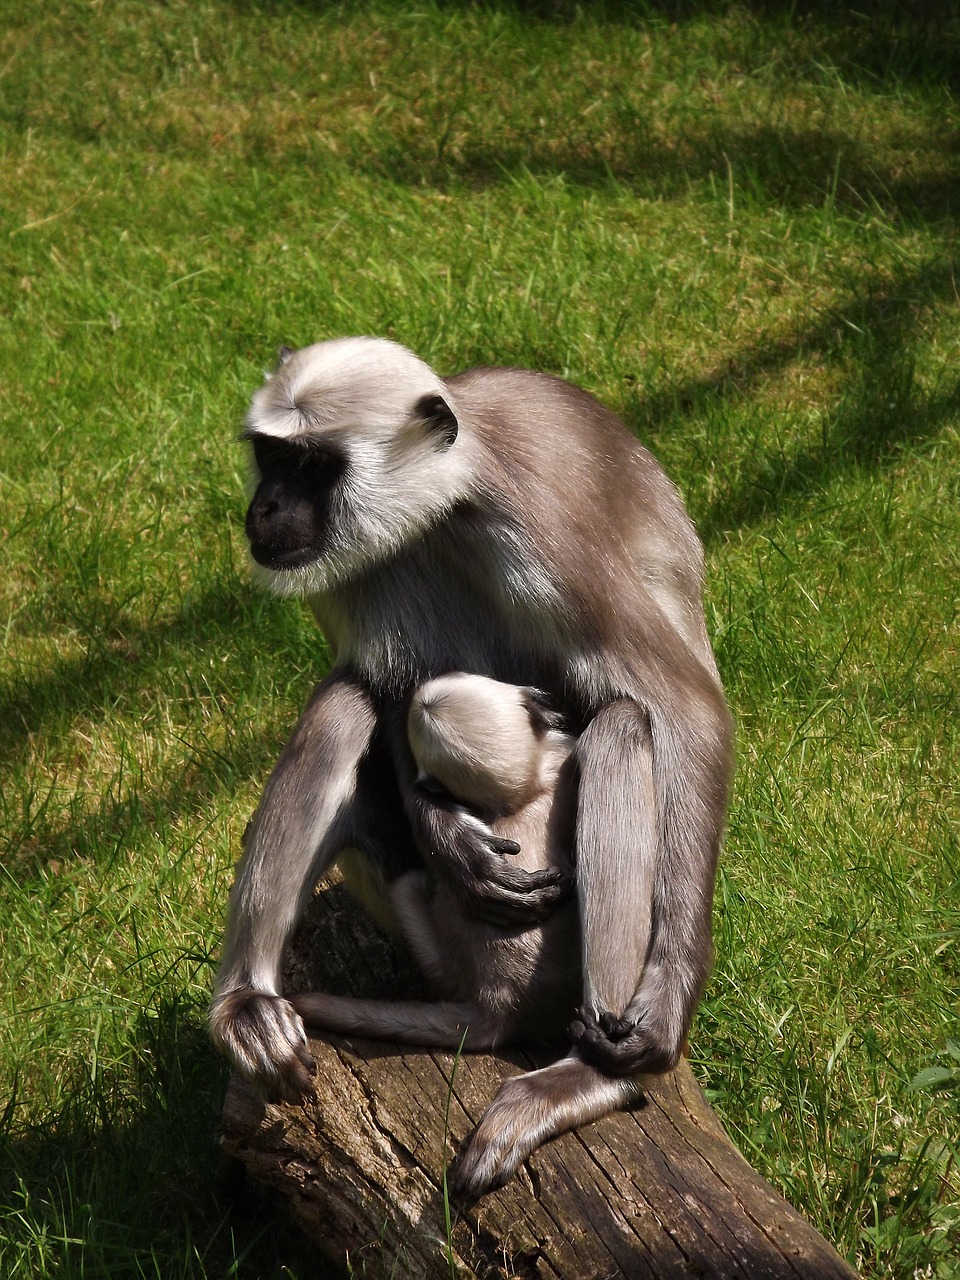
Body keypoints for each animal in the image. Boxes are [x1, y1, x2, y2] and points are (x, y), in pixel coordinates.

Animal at [212, 335, 737, 1192]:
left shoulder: (539, 521)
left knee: (625, 724)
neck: (444, 507)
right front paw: (453, 840)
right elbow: (393, 690)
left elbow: (683, 707)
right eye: (270, 457)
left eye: (315, 467)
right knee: (344, 701)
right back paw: (246, 1007)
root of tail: (491, 1007)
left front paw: (669, 995)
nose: (265, 509)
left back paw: (594, 1079)